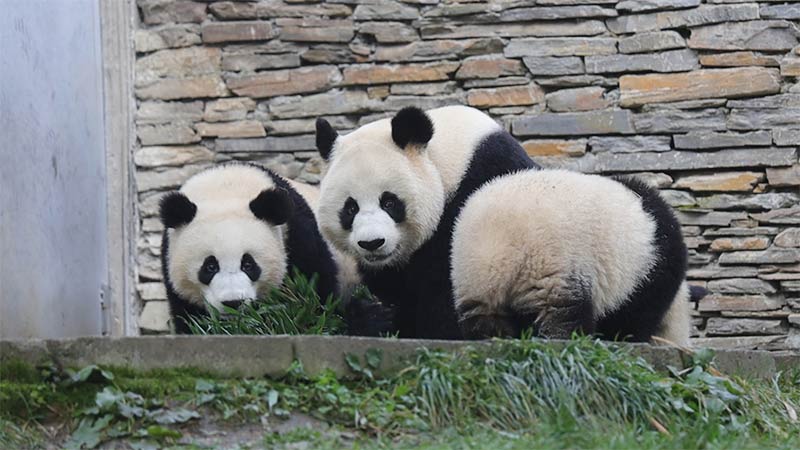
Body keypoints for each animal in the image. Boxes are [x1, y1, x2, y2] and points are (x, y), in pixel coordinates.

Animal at [159, 162, 372, 334]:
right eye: (210, 266)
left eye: (248, 264)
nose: (233, 303)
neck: (225, 187)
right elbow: (188, 316)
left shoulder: (296, 235)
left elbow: (315, 294)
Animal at [451, 169, 692, 346]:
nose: (684, 344)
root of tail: (501, 254)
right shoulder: (647, 273)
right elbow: (633, 318)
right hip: (553, 263)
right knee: (563, 315)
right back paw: (569, 340)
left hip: (470, 274)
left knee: (482, 318)